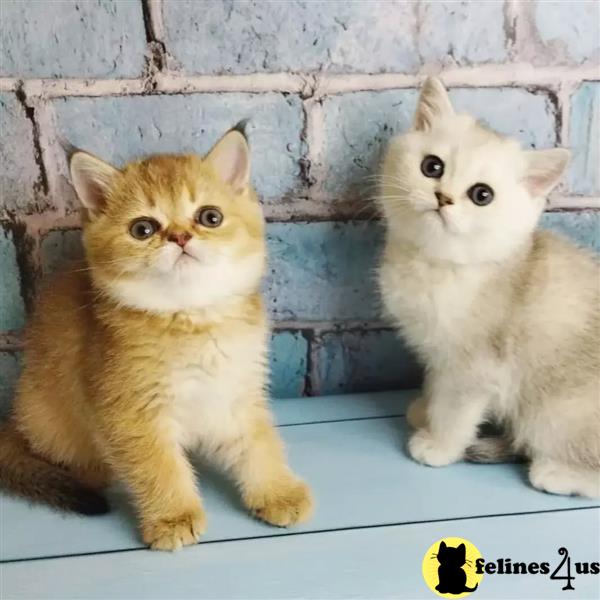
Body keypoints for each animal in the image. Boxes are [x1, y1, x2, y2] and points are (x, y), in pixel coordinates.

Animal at [0, 125, 312, 548]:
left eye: (210, 217)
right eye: (142, 229)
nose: (179, 237)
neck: (192, 319)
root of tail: (14, 421)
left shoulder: (236, 391)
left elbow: (258, 443)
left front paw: (277, 492)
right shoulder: (129, 412)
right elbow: (158, 466)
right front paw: (173, 516)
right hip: (47, 416)